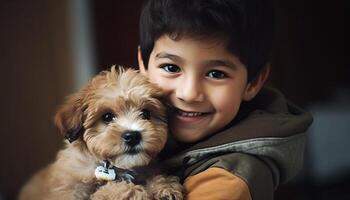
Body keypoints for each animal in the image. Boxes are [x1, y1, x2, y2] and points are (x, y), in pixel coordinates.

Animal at [19, 66, 183, 199]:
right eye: (107, 117)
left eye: (146, 114)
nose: (133, 136)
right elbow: (112, 190)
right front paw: (131, 192)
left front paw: (165, 186)